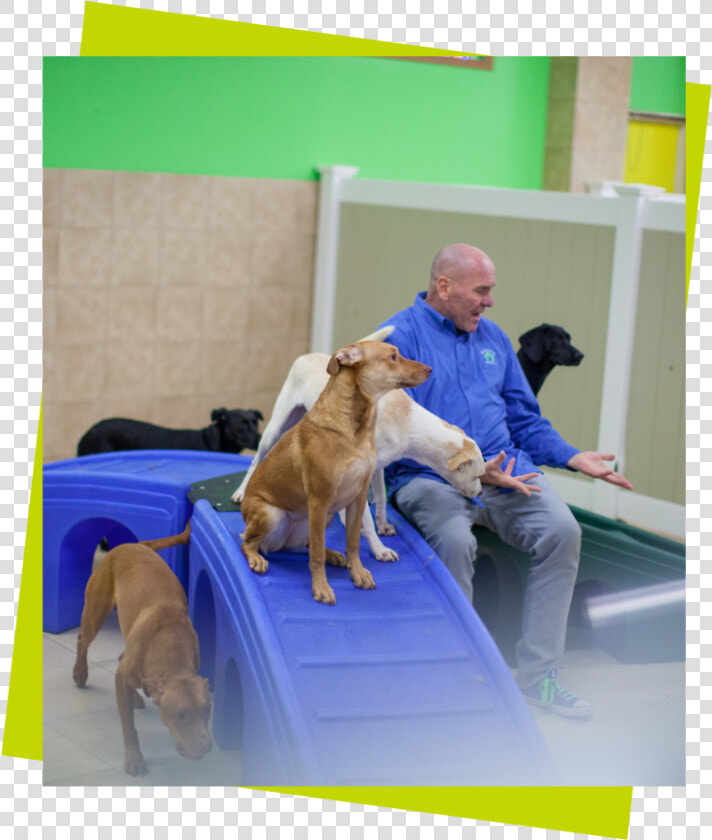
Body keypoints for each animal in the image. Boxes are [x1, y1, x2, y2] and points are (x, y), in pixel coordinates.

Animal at [72, 520, 213, 776]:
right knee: (82, 640)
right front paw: (134, 758)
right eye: (181, 715)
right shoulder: (123, 677)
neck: (170, 645)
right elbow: (128, 726)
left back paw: (134, 695)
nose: (206, 745)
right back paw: (80, 672)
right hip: (94, 615)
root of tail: (135, 545)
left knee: (120, 658)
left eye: (207, 709)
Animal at [239, 340, 432, 604]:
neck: (355, 428)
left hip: (323, 518)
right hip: (273, 514)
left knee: (307, 544)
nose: (430, 369)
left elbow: (353, 543)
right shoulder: (320, 501)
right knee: (248, 543)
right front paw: (321, 588)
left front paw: (358, 573)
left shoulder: (357, 498)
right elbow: (317, 557)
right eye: (393, 356)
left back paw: (334, 555)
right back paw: (257, 558)